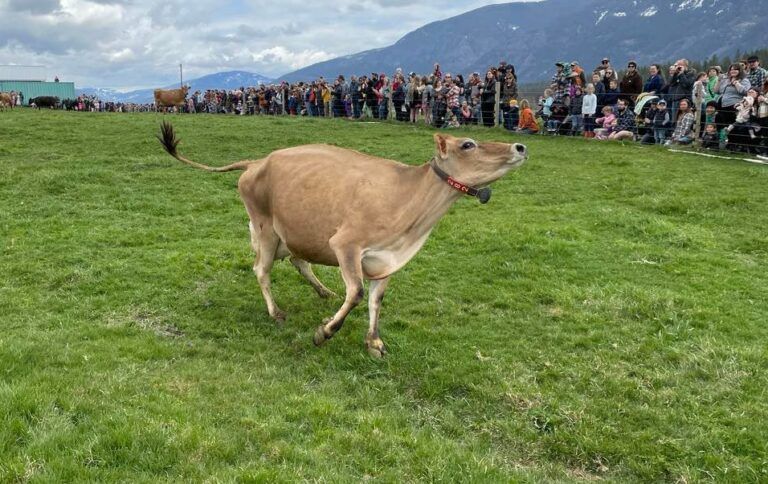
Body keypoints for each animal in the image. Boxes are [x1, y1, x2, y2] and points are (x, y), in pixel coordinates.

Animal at [157, 121, 528, 356]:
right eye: (467, 144)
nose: (520, 146)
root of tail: (259, 160)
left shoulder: (384, 260)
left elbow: (376, 300)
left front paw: (374, 342)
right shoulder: (346, 245)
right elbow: (357, 293)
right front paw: (324, 332)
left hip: (296, 232)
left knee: (299, 261)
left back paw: (323, 291)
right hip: (265, 229)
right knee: (261, 270)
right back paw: (276, 313)